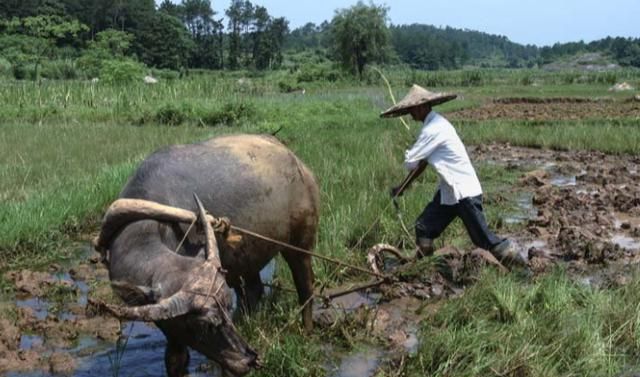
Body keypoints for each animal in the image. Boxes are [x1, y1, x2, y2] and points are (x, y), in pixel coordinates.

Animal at [94, 134, 320, 374]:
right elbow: (175, 357)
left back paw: (307, 330)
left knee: (305, 286)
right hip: (244, 260)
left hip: (300, 245)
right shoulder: (166, 321)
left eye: (225, 308)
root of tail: (298, 163)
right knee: (252, 291)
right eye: (203, 325)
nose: (248, 360)